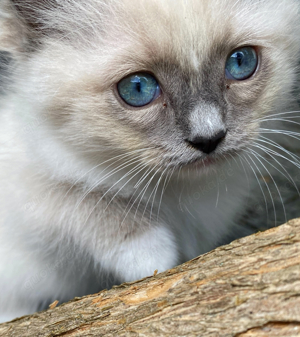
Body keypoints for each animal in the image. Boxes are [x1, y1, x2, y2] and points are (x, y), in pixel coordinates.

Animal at [0, 0, 300, 322]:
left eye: (240, 62)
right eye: (138, 88)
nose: (208, 139)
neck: (180, 195)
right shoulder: (27, 190)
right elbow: (86, 202)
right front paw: (153, 263)